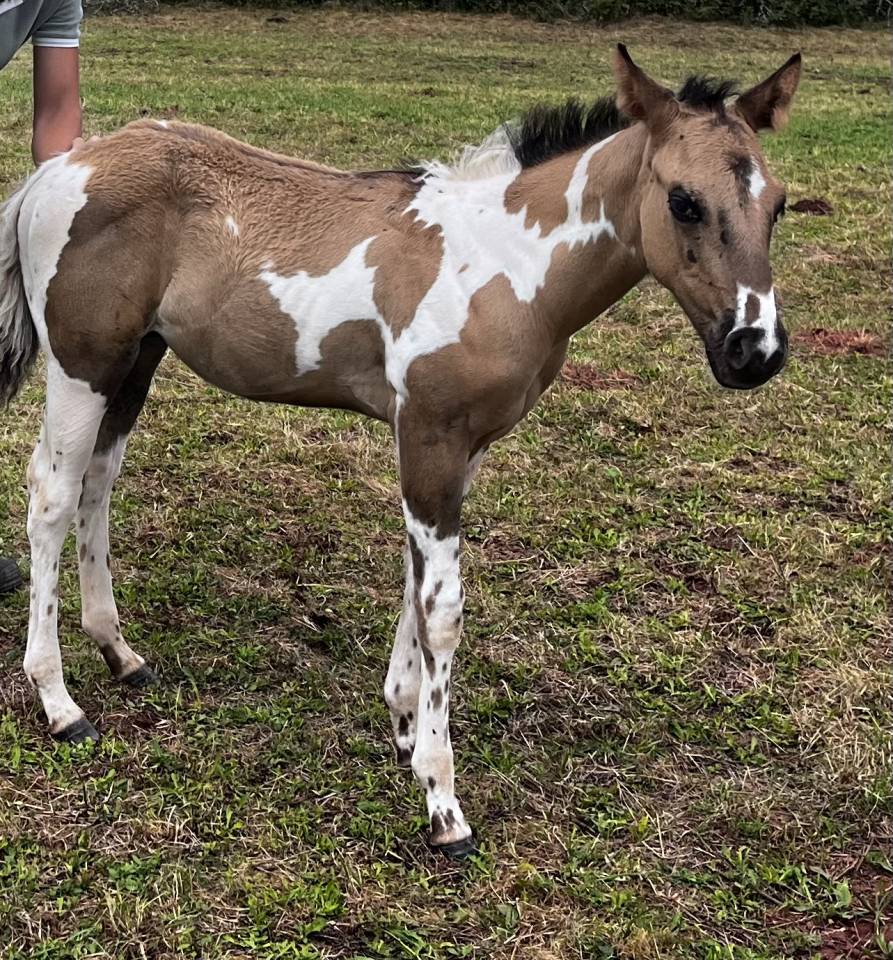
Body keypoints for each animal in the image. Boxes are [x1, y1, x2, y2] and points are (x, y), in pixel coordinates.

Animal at [0, 46, 800, 857]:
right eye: (683, 202)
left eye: (778, 205)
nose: (755, 350)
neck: (509, 265)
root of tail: (62, 166)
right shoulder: (429, 433)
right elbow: (441, 608)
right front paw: (443, 801)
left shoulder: (461, 446)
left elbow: (416, 584)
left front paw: (405, 725)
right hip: (84, 362)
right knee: (51, 498)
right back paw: (59, 701)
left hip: (138, 358)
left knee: (97, 483)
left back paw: (119, 652)